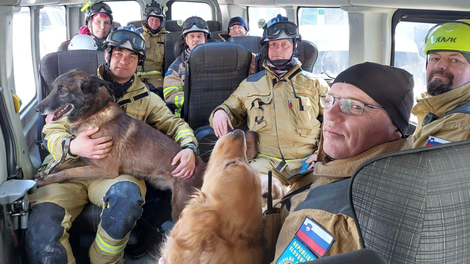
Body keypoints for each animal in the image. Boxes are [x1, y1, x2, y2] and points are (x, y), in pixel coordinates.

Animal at [34, 68, 207, 221]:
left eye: (62, 90)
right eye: (53, 88)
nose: (37, 108)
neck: (93, 115)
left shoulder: (105, 169)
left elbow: (67, 173)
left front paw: (45, 180)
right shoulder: (86, 160)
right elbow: (65, 166)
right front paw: (44, 173)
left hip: (181, 208)